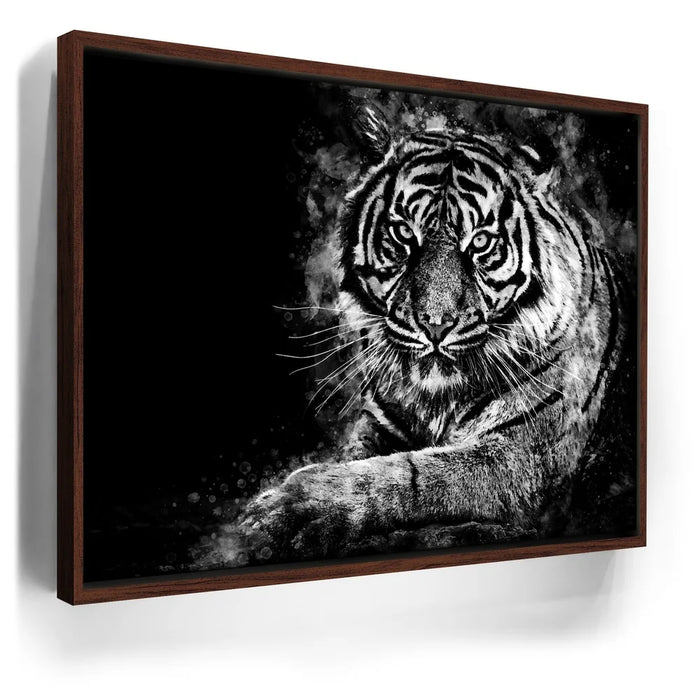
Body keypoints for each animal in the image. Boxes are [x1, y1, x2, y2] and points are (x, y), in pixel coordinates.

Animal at [217, 102, 634, 565]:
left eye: (481, 242)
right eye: (403, 233)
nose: (435, 324)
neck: (436, 399)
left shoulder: (521, 456)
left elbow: (411, 474)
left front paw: (290, 508)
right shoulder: (380, 424)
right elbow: (363, 459)